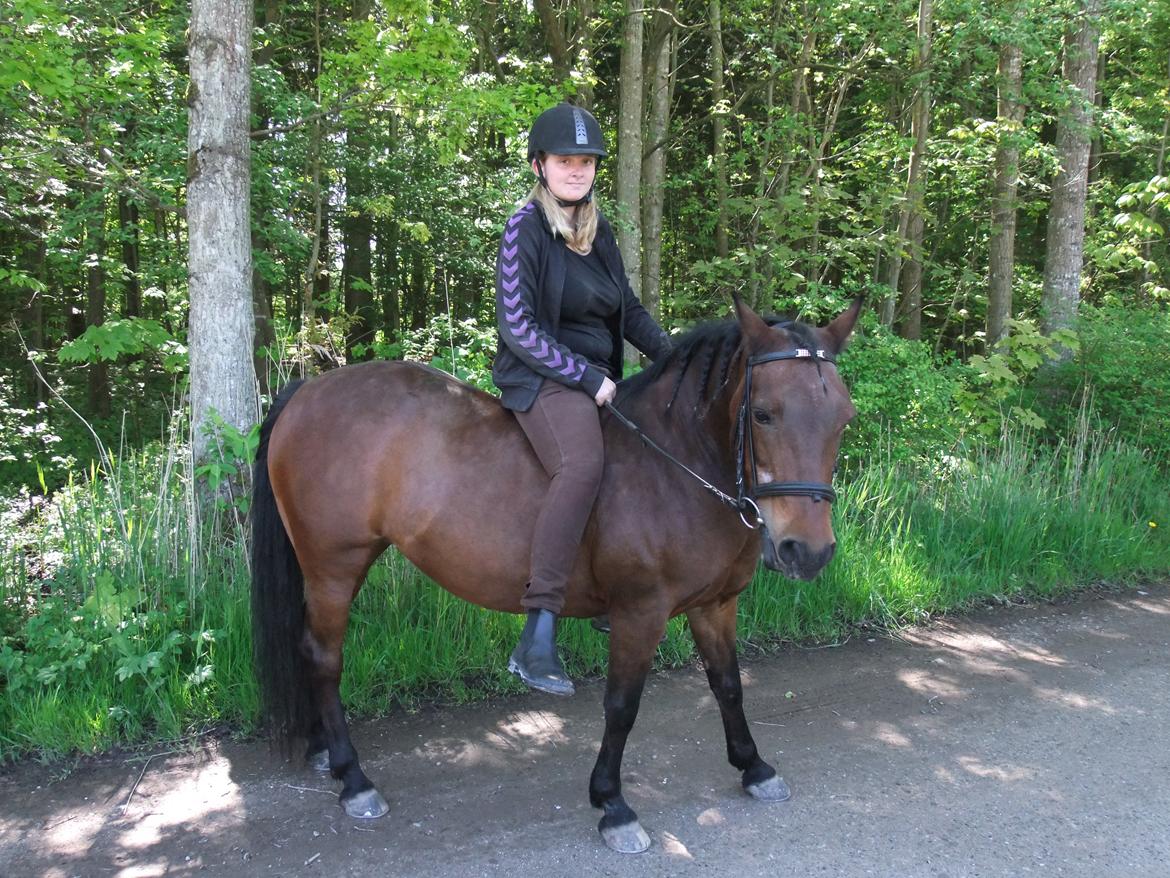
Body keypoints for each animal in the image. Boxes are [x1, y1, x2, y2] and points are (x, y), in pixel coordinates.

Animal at [250, 296, 861, 853]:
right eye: (763, 414)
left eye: (843, 418)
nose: (807, 551)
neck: (677, 462)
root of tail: (308, 391)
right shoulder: (639, 611)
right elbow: (622, 706)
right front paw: (613, 805)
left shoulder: (716, 605)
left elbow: (729, 685)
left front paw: (754, 767)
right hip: (333, 566)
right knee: (323, 657)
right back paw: (353, 777)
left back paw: (324, 753)